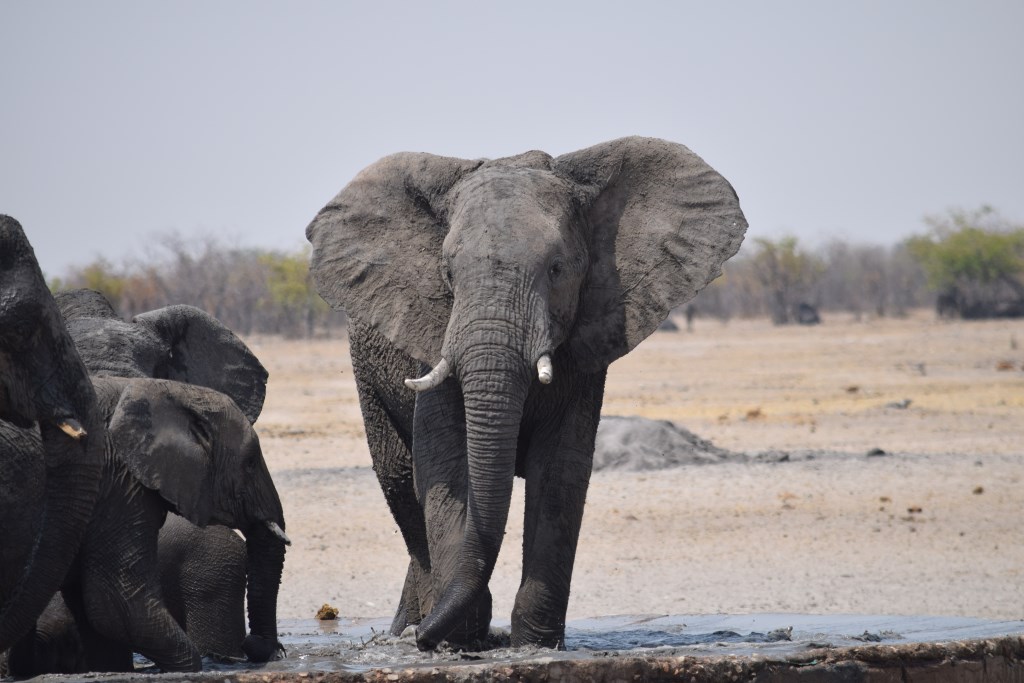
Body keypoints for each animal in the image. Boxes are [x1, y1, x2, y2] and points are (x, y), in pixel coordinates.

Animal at [307, 135, 749, 651]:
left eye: (557, 269)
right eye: (448, 273)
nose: (424, 642)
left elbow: (559, 473)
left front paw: (534, 645)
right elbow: (445, 464)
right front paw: (461, 641)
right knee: (399, 482)